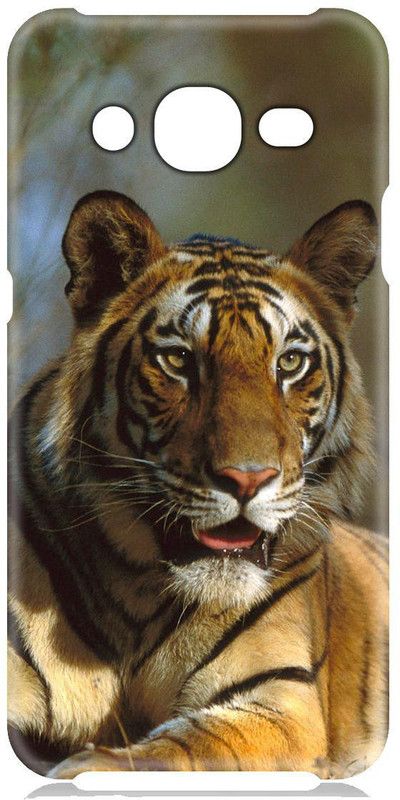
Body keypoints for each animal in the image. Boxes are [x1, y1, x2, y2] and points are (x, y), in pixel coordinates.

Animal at [8, 190, 388, 779]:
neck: (140, 598)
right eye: (178, 359)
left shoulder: (281, 703)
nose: (248, 479)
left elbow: (181, 748)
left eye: (290, 362)